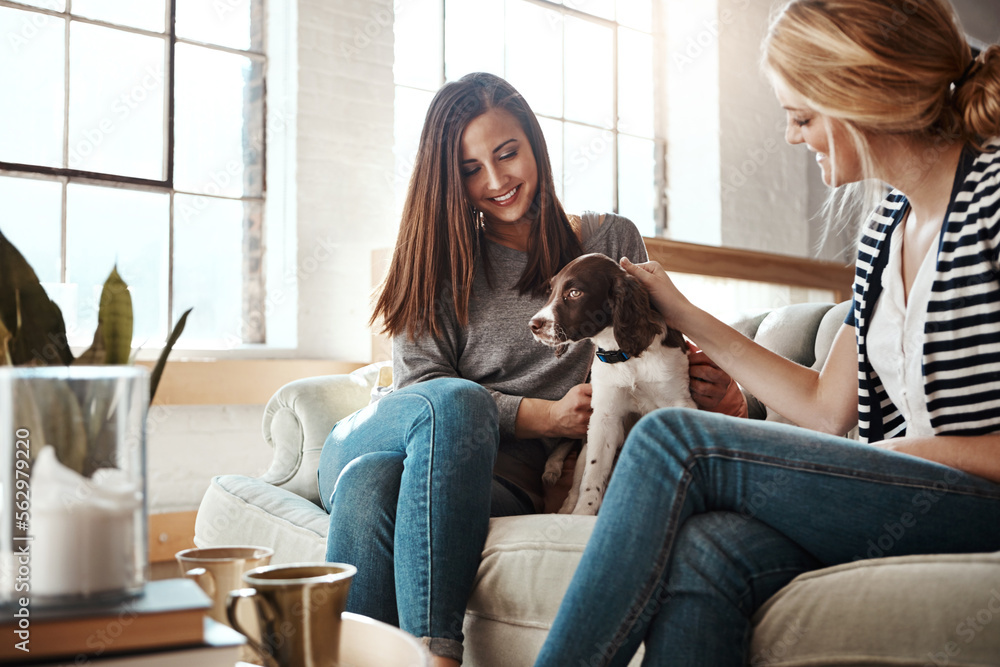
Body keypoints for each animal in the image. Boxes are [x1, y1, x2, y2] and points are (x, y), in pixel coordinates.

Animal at [532, 253, 696, 516]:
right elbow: (592, 475)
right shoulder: (604, 416)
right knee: (577, 480)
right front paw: (583, 514)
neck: (623, 354)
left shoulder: (679, 401)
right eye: (551, 290)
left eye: (575, 293)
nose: (533, 325)